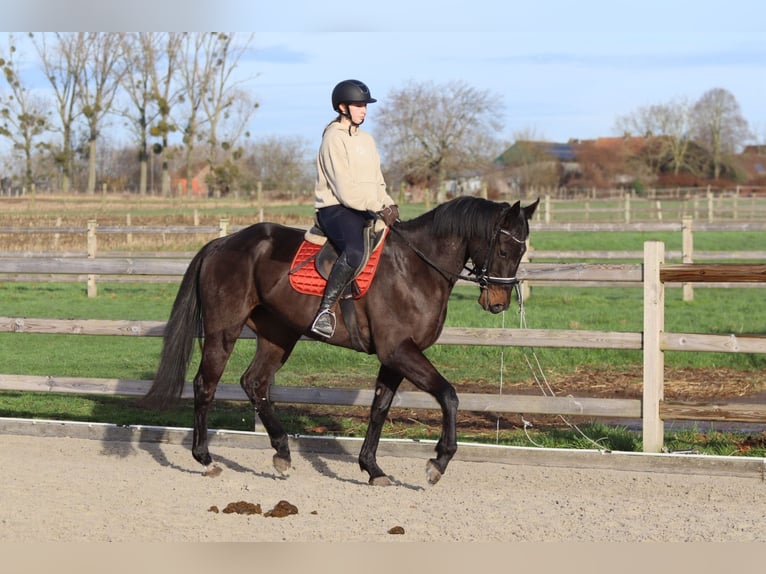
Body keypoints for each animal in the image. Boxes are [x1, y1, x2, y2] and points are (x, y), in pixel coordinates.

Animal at [140, 196, 539, 485]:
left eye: (521, 252)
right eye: (504, 250)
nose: (498, 303)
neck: (417, 268)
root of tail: (223, 242)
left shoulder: (394, 357)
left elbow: (379, 408)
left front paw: (372, 469)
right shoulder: (400, 350)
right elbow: (449, 396)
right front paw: (437, 462)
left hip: (278, 334)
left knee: (255, 383)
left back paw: (282, 453)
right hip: (224, 330)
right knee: (205, 385)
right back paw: (205, 459)